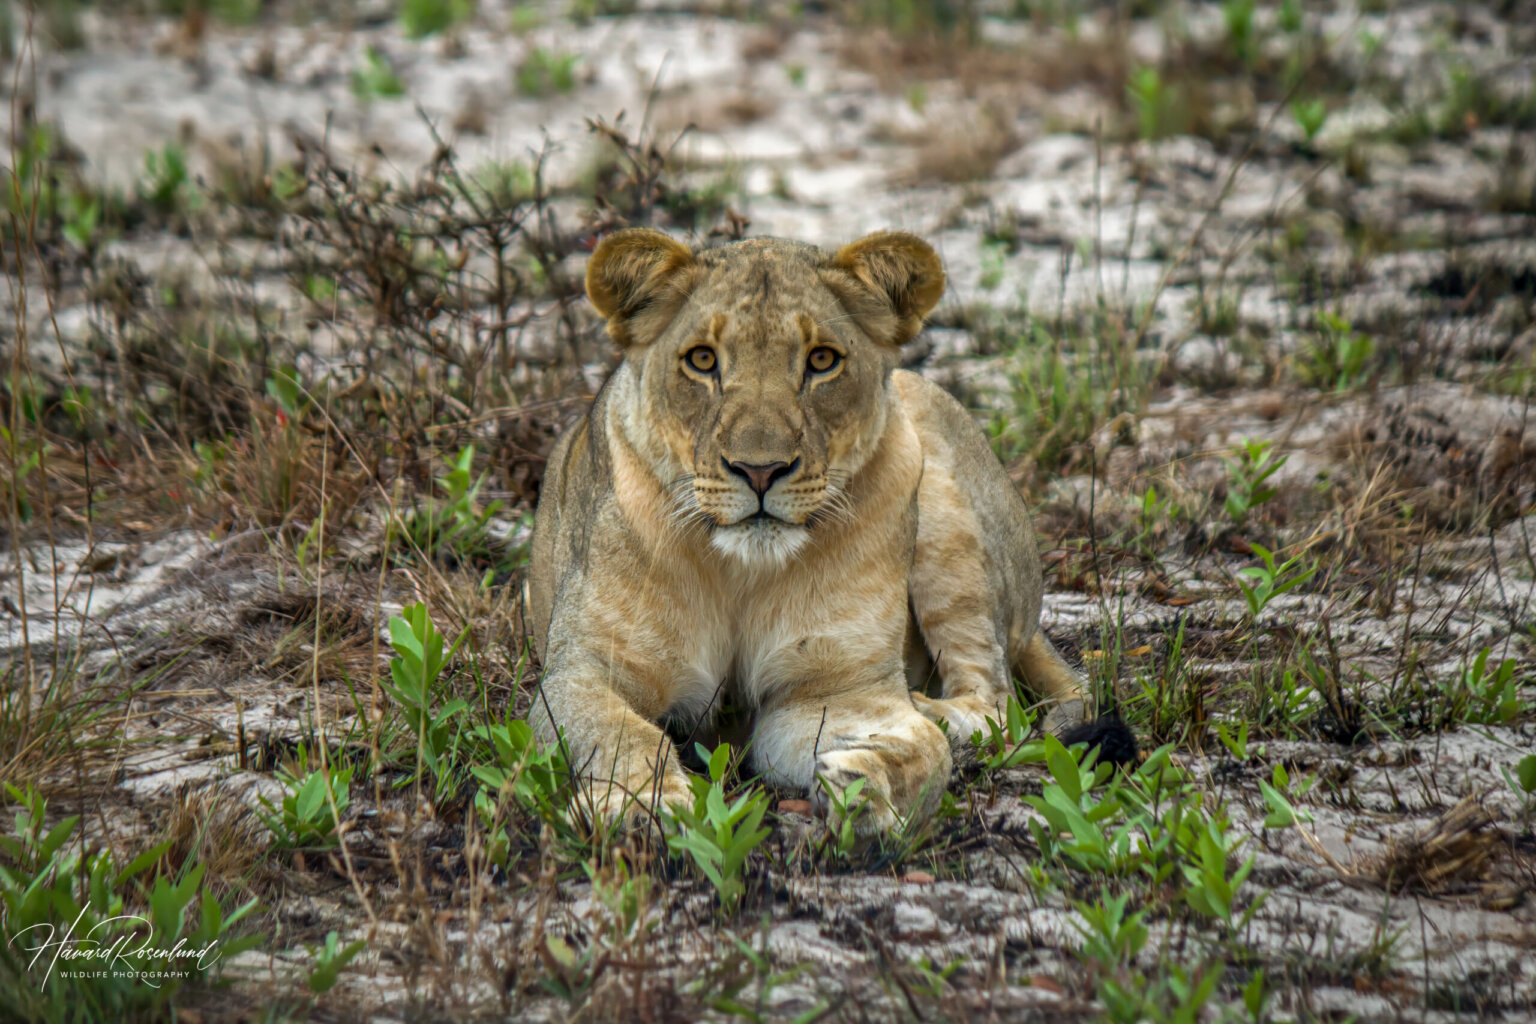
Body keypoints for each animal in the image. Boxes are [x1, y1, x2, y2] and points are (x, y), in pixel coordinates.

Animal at [526, 228, 1127, 833]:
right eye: (702, 360)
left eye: (821, 361)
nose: (760, 470)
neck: (742, 574)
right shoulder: (581, 672)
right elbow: (621, 735)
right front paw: (638, 807)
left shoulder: (835, 688)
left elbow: (926, 751)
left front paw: (870, 792)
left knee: (995, 700)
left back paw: (929, 711)